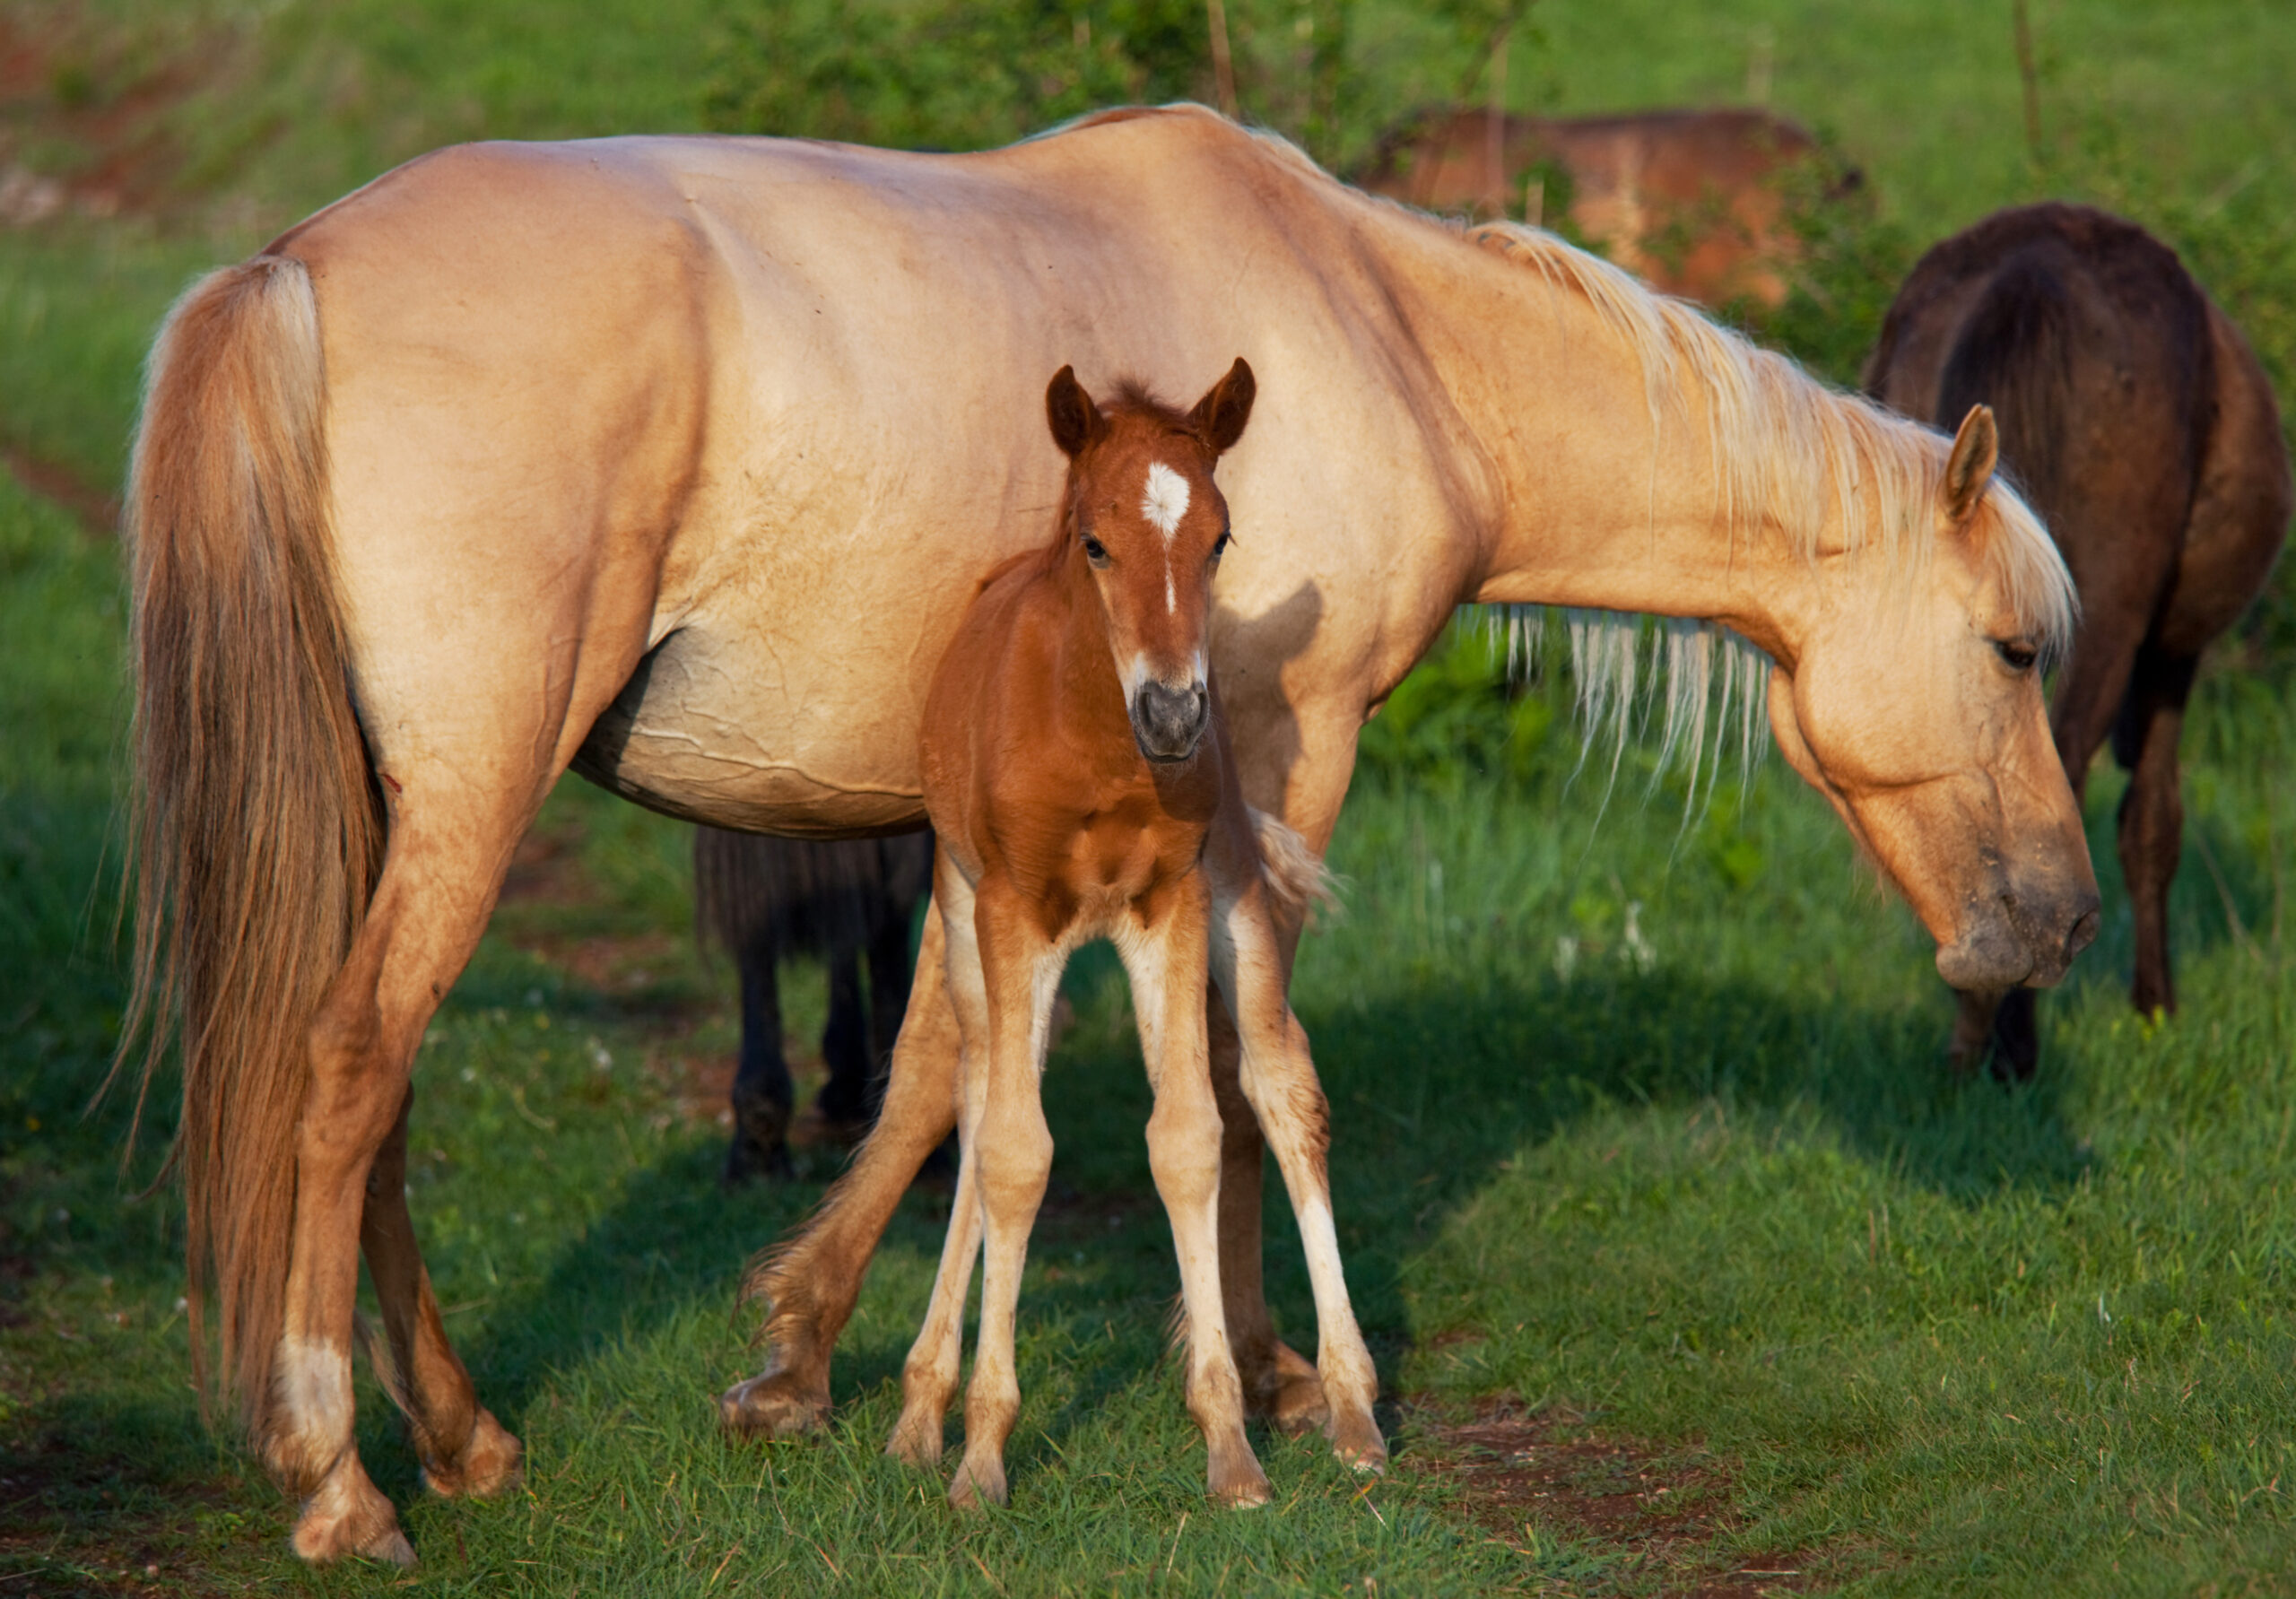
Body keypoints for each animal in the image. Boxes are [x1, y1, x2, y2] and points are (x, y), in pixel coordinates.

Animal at [1864, 202, 2292, 1077]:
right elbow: (2151, 820)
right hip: (2119, 624)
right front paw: (2155, 1007)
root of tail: (2032, 276)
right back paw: (2012, 1043)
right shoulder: (2167, 655)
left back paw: (1972, 1038)